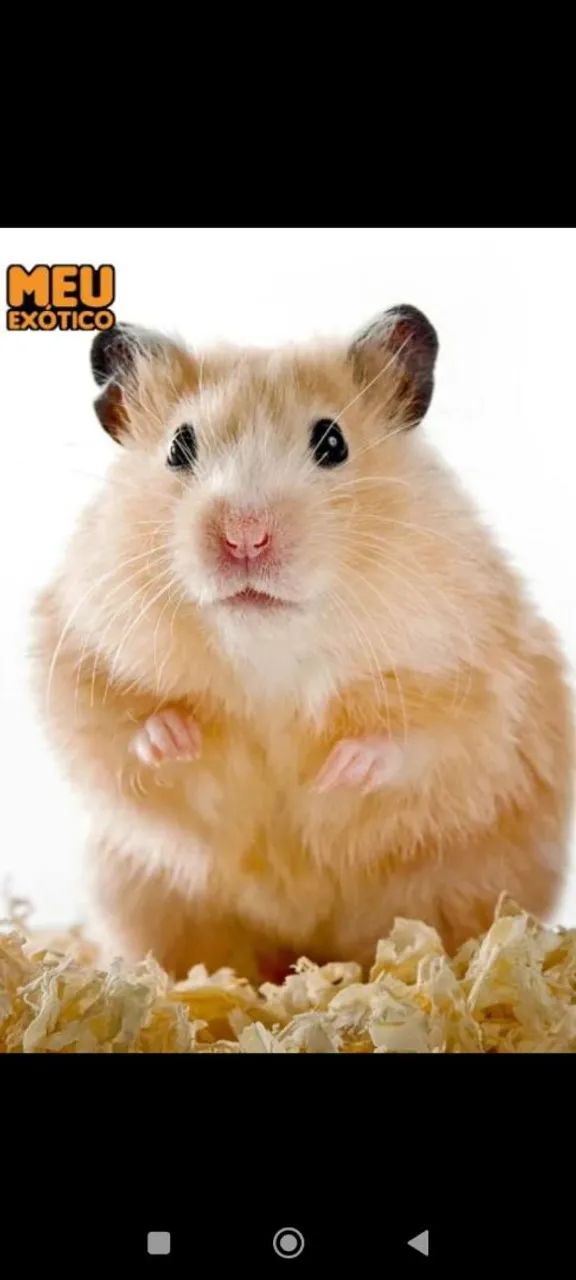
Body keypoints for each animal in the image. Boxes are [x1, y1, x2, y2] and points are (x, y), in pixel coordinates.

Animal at [32, 306, 574, 982]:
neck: (269, 646)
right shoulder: (75, 648)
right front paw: (177, 738)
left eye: (332, 442)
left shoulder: (480, 677)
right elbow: (112, 726)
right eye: (179, 447)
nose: (244, 537)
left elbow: (425, 740)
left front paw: (337, 771)